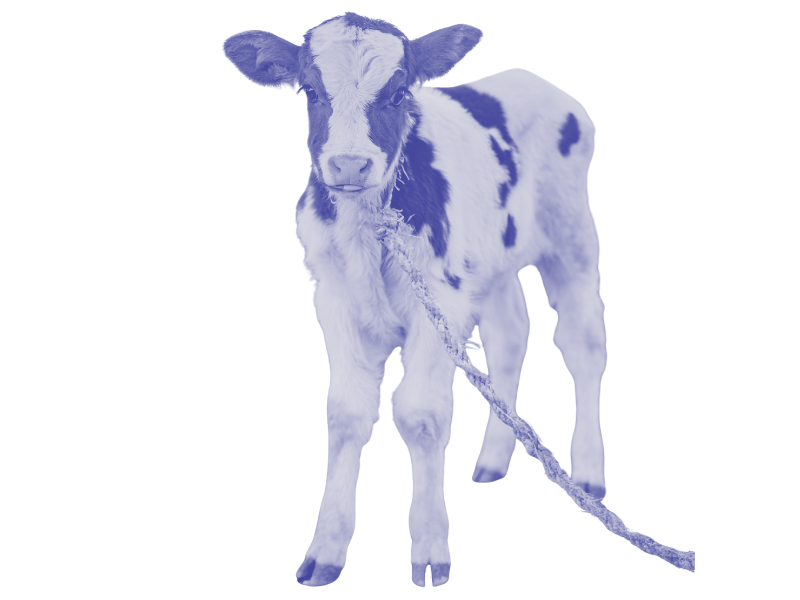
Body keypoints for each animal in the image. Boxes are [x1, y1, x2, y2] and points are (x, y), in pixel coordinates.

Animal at [223, 12, 607, 588]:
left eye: (399, 92)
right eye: (311, 90)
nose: (350, 165)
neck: (369, 228)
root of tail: (531, 78)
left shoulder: (439, 302)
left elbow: (423, 415)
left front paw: (428, 548)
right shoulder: (336, 302)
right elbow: (346, 416)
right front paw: (324, 552)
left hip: (571, 239)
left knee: (584, 344)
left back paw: (587, 475)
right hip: (493, 262)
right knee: (510, 334)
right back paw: (493, 458)